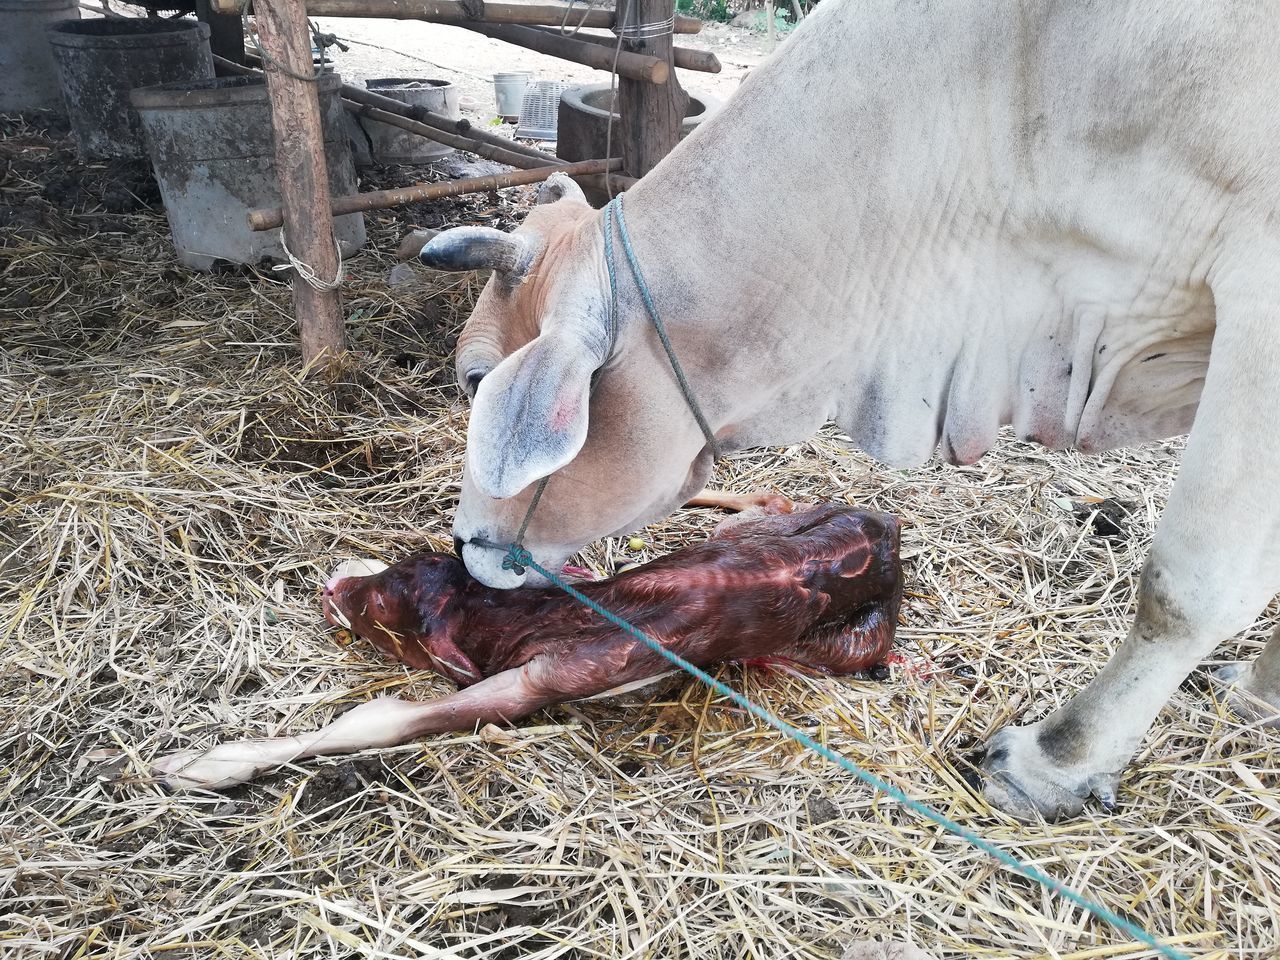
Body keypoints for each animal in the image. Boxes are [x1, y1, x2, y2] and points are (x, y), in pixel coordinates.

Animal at [154, 504, 901, 788]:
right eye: (403, 564)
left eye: (382, 614)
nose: (332, 586)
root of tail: (885, 527)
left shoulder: (541, 680)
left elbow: (384, 719)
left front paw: (201, 764)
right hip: (762, 525)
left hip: (855, 641)